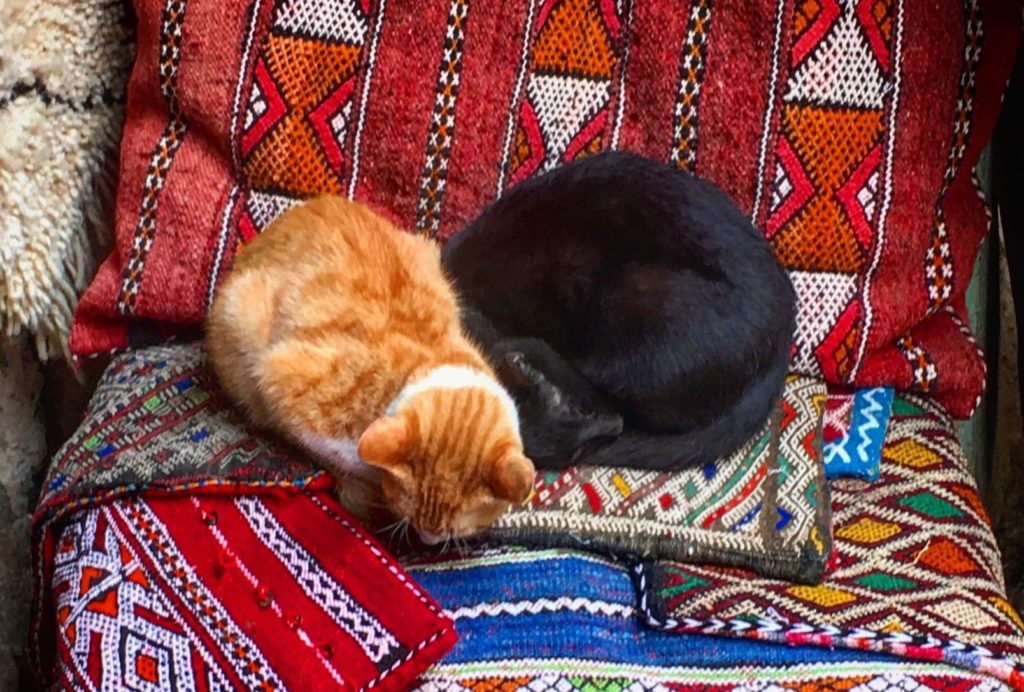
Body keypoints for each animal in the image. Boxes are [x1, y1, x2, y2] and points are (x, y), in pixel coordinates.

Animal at [203, 195, 532, 544]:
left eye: (456, 532)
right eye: (411, 517)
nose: (426, 541)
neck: (423, 364)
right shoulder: (282, 382)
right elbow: (325, 451)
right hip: (240, 316)